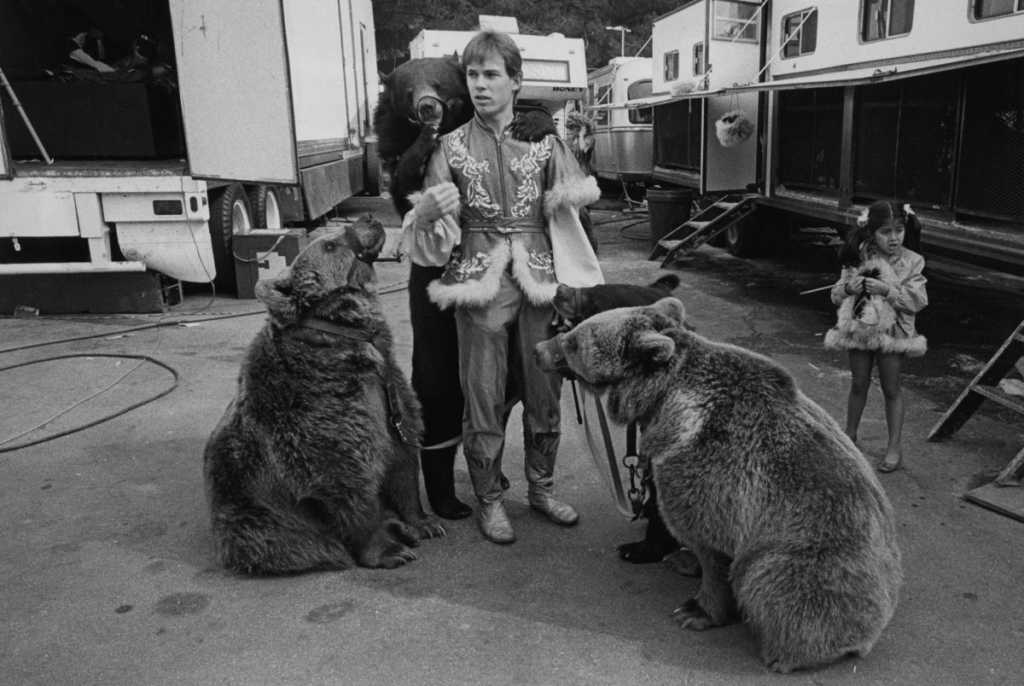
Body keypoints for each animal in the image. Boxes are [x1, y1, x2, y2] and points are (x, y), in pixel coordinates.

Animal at [202, 218, 444, 577]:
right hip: (250, 510)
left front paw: (423, 522)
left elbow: (403, 455)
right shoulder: (320, 407)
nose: (369, 219)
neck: (348, 337)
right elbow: (345, 476)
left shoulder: (388, 392)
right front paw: (389, 551)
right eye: (330, 244)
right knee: (282, 539)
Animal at [536, 298, 905, 675]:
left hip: (815, 561)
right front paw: (682, 563)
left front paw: (695, 609)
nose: (539, 349)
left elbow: (709, 542)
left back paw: (786, 653)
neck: (662, 399)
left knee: (771, 582)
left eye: (573, 341)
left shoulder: (712, 467)